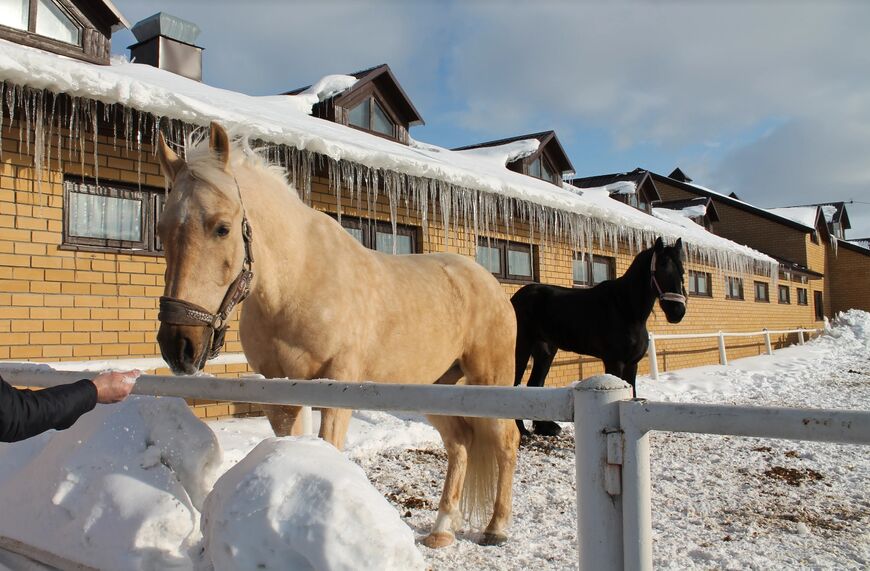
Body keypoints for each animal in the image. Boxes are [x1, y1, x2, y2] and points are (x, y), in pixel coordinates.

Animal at [155, 123, 516, 548]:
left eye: (222, 228)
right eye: (162, 230)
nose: (178, 344)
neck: (299, 282)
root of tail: (487, 282)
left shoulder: (338, 385)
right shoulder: (280, 392)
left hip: (490, 380)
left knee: (507, 441)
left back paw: (496, 528)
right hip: (435, 387)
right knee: (460, 444)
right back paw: (442, 530)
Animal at [510, 237, 688, 438]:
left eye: (682, 271)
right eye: (661, 268)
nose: (677, 312)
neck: (625, 309)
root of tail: (515, 298)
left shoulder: (632, 363)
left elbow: (633, 392)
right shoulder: (615, 362)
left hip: (545, 352)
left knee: (535, 384)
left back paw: (545, 427)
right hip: (521, 348)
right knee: (514, 384)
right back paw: (522, 431)